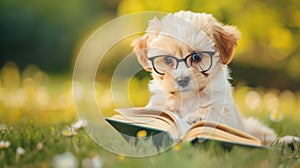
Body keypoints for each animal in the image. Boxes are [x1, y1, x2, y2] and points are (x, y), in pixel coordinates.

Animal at [133, 10, 298, 146]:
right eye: (167, 60)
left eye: (197, 57)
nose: (182, 80)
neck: (189, 97)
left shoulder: (225, 112)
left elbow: (212, 113)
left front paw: (195, 118)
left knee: (265, 139)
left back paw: (287, 142)